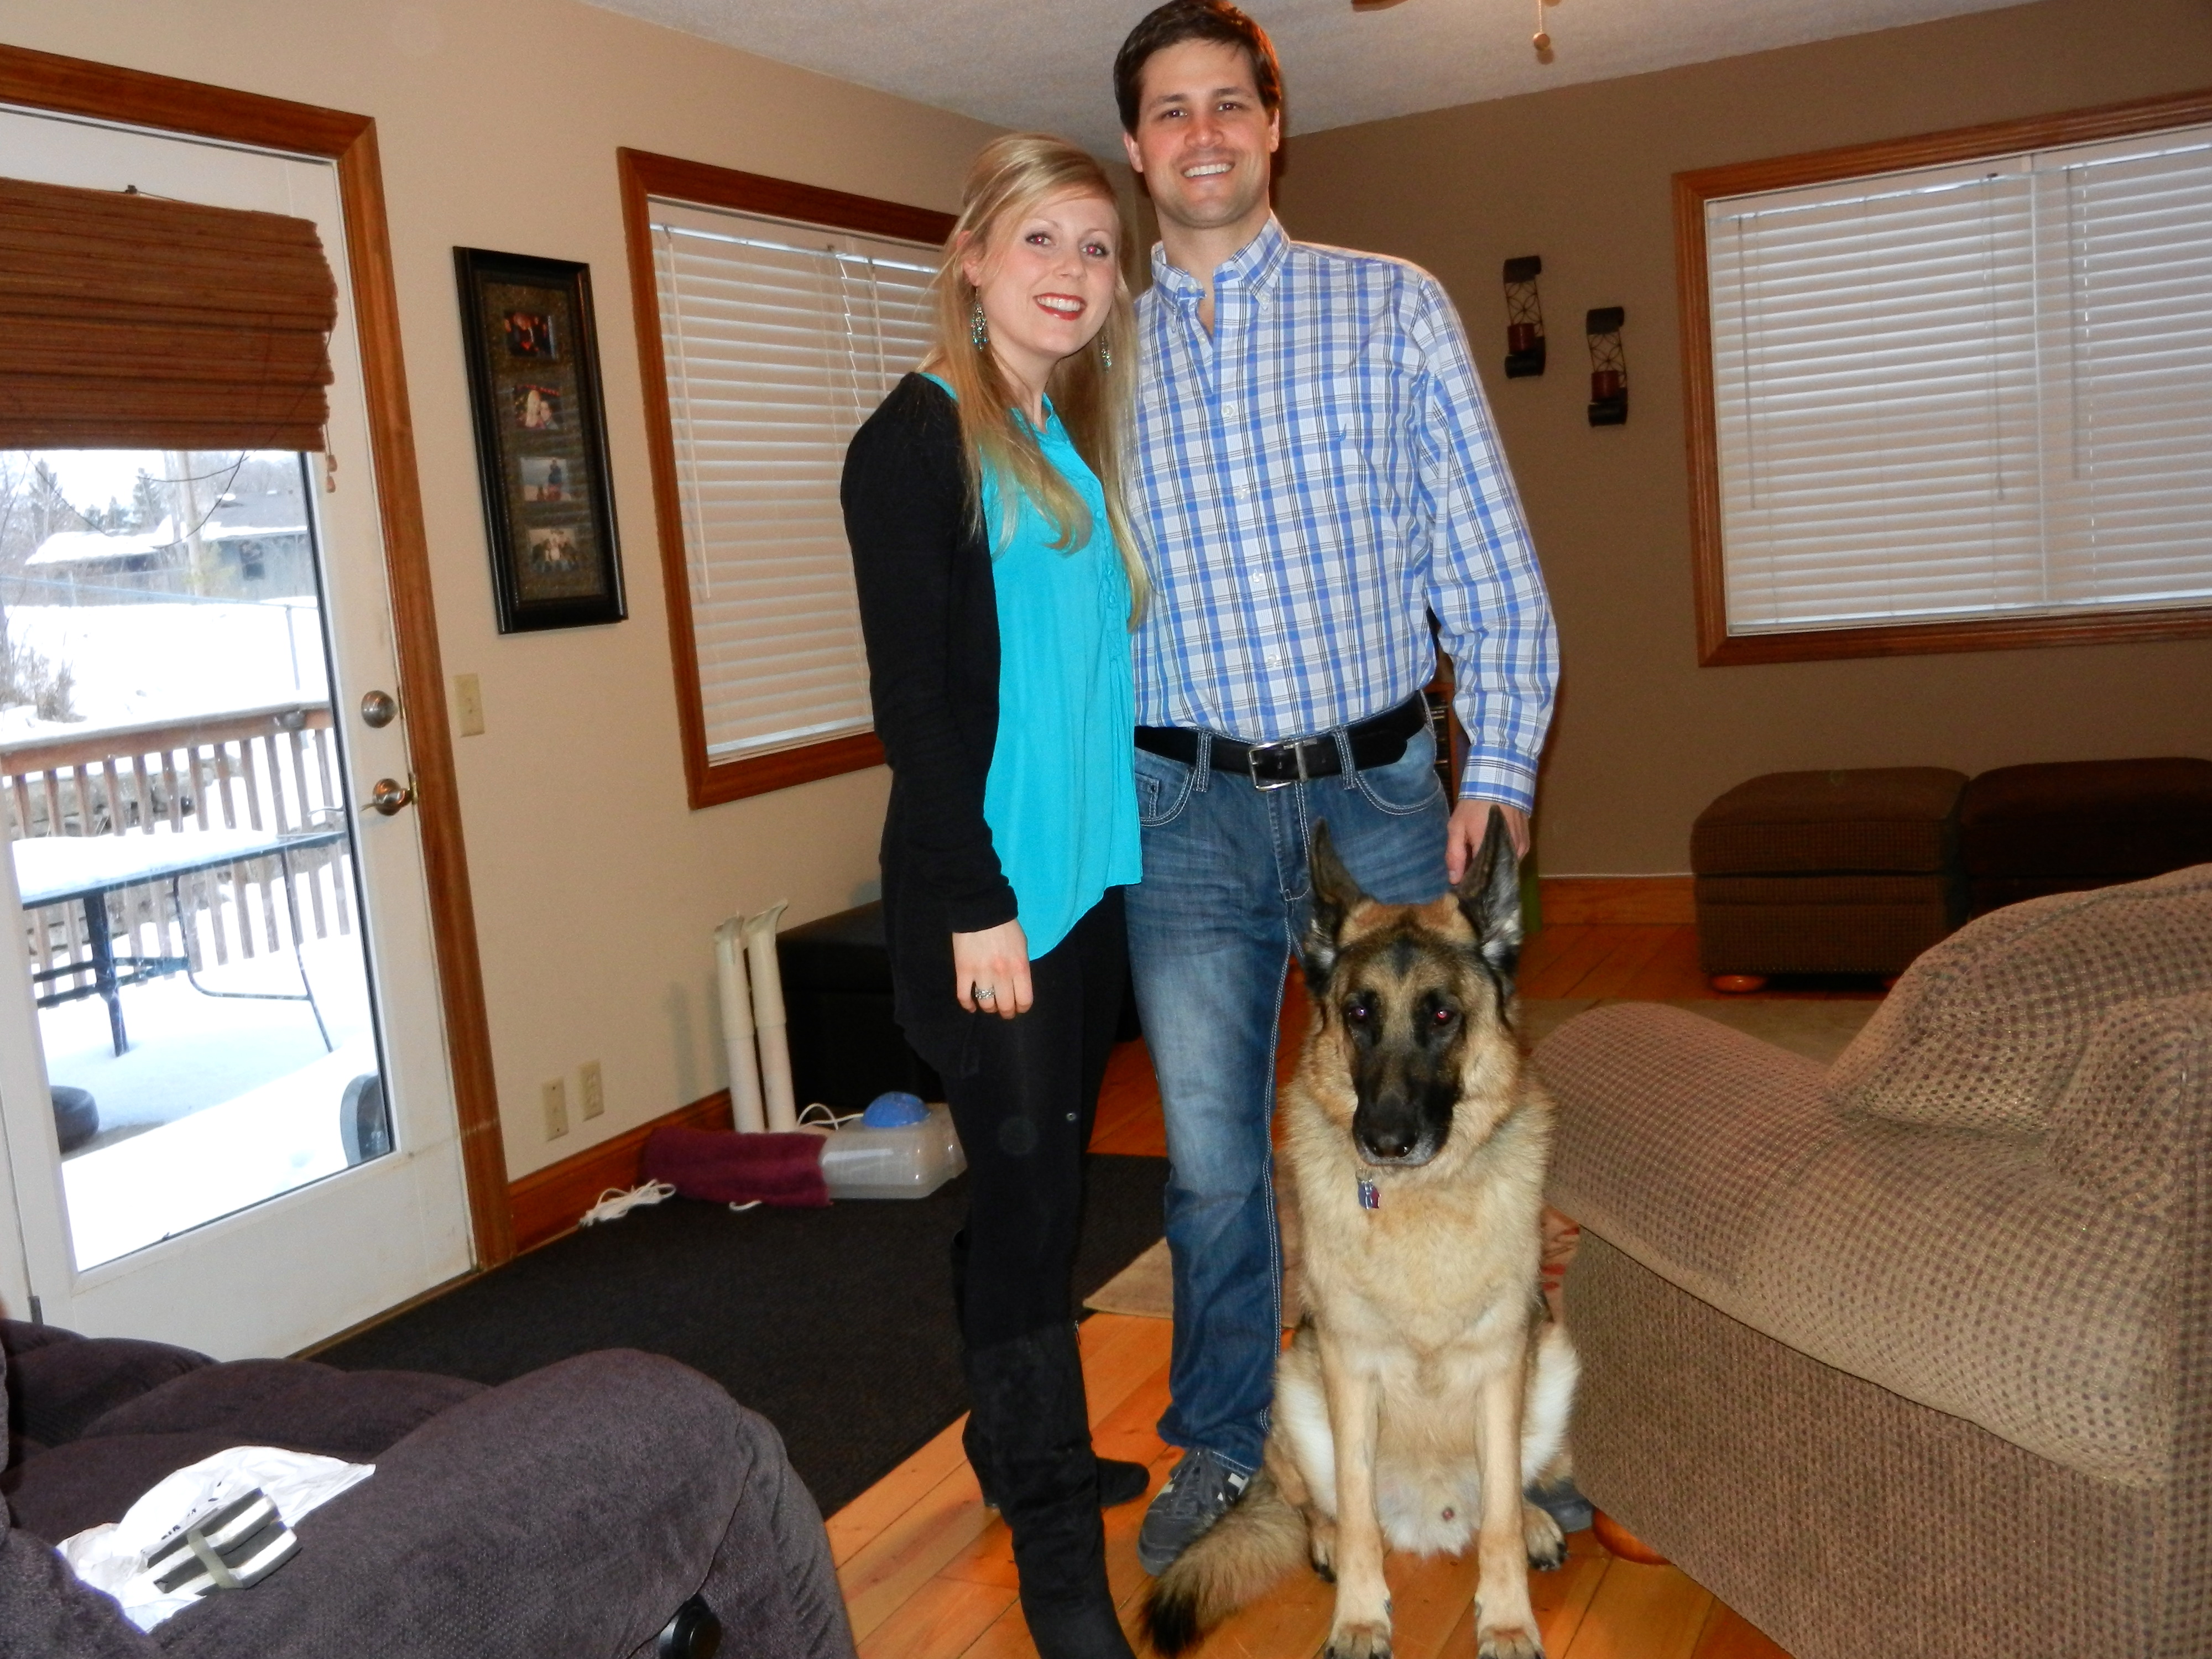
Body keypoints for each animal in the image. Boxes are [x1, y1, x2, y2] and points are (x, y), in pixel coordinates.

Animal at [1142, 810, 1579, 1659]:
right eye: (1359, 1014)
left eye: (1442, 1016)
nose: (1382, 1140)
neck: (1421, 1199)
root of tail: (1433, 1514)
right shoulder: (1349, 1373)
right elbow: (1356, 1524)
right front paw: (1359, 1616)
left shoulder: (1502, 1368)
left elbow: (1501, 1522)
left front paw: (1507, 1617)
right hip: (1296, 1385)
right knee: (1326, 1507)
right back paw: (1322, 1541)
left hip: (1551, 1362)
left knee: (1504, 1493)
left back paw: (1537, 1517)